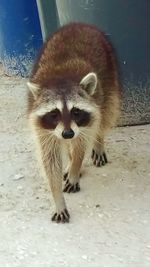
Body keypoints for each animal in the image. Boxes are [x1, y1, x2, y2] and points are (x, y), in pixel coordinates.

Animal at [26, 23, 120, 224]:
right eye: (54, 114)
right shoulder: (43, 129)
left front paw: (76, 167)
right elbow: (50, 159)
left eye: (76, 112)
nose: (67, 134)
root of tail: (79, 24)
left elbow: (81, 145)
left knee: (106, 114)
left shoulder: (85, 122)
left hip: (109, 77)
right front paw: (58, 197)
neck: (61, 78)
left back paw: (97, 143)